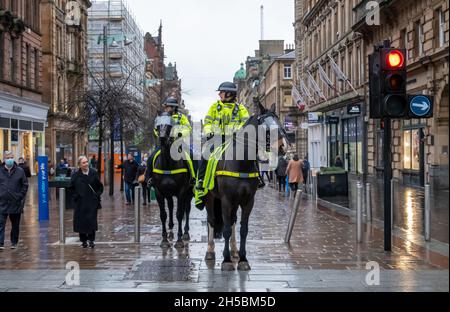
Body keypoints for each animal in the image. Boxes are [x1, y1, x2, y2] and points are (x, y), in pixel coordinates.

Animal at [150, 114, 194, 249]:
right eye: (158, 125)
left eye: (170, 126)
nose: (162, 138)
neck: (168, 164)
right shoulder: (159, 192)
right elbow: (163, 214)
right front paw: (164, 240)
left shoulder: (182, 191)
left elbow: (179, 214)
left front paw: (179, 240)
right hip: (168, 194)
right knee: (170, 207)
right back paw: (170, 231)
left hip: (188, 193)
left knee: (187, 209)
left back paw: (185, 233)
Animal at [204, 101, 288, 270]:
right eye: (267, 127)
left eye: (280, 123)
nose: (283, 147)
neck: (240, 163)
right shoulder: (226, 200)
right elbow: (226, 229)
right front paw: (226, 261)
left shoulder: (248, 200)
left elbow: (243, 229)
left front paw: (243, 259)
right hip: (210, 197)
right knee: (211, 220)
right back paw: (210, 251)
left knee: (233, 220)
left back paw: (234, 250)